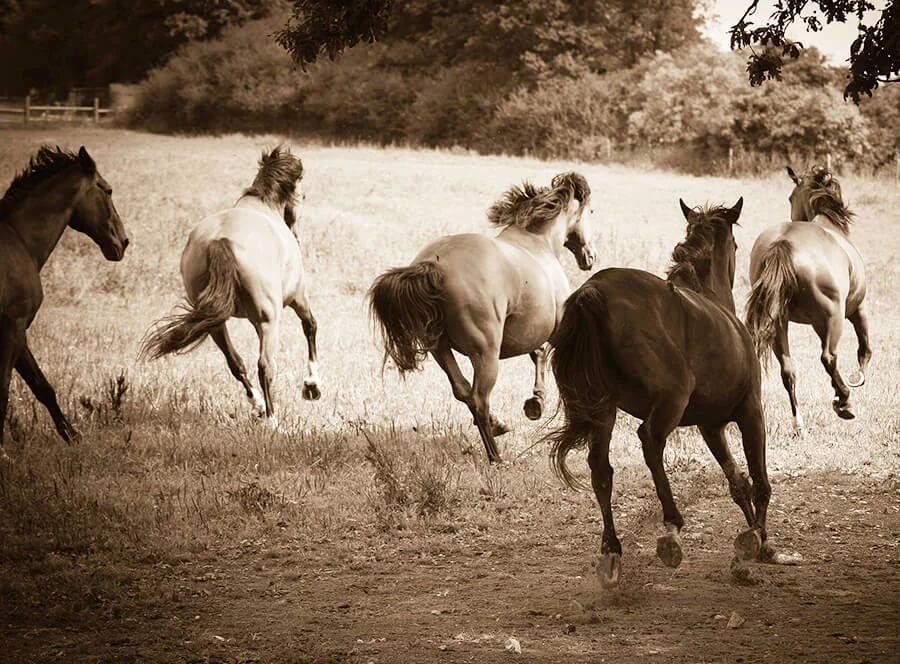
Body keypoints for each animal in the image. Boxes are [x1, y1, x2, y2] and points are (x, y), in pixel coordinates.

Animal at [0, 145, 130, 456]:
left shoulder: (17, 332)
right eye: (107, 189)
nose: (123, 242)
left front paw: (72, 435)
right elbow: (5, 389)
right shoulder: (13, 327)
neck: (19, 240)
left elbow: (42, 387)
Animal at [370, 172, 596, 462]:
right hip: (486, 353)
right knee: (478, 398)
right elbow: (543, 353)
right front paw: (536, 402)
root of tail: (435, 265)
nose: (590, 257)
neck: (538, 242)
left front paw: (534, 403)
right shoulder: (554, 327)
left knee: (462, 390)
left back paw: (497, 425)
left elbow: (537, 353)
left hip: (440, 349)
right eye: (590, 211)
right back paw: (496, 457)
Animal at [544, 197, 792, 588]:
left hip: (603, 410)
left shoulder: (711, 426)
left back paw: (612, 550)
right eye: (737, 246)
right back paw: (671, 529)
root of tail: (593, 291)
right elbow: (760, 480)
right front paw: (759, 542)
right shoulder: (751, 412)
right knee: (650, 441)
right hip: (670, 400)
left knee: (601, 468)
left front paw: (749, 547)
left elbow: (737, 481)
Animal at [744, 164, 864, 428]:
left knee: (788, 371)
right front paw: (856, 378)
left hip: (779, 322)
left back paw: (799, 424)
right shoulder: (857, 310)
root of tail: (783, 243)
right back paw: (844, 402)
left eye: (791, 197)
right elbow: (865, 348)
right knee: (828, 357)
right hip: (833, 318)